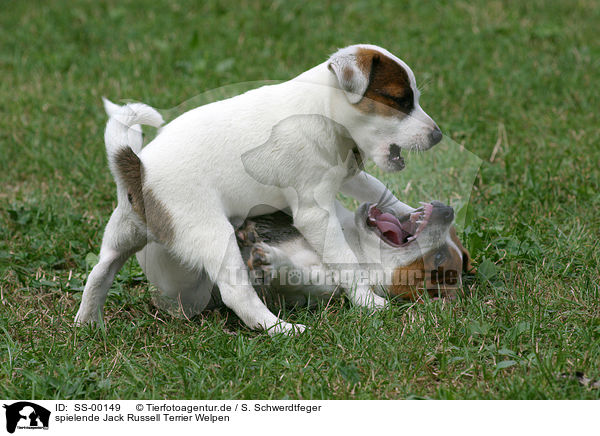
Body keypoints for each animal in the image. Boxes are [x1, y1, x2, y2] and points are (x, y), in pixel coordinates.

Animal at [74, 44, 440, 336]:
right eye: (399, 100)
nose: (437, 136)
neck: (323, 110)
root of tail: (138, 170)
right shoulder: (315, 213)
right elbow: (345, 260)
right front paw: (368, 302)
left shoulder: (348, 175)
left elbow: (379, 190)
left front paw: (410, 212)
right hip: (213, 235)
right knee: (238, 294)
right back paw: (282, 329)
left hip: (121, 233)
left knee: (99, 272)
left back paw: (87, 324)